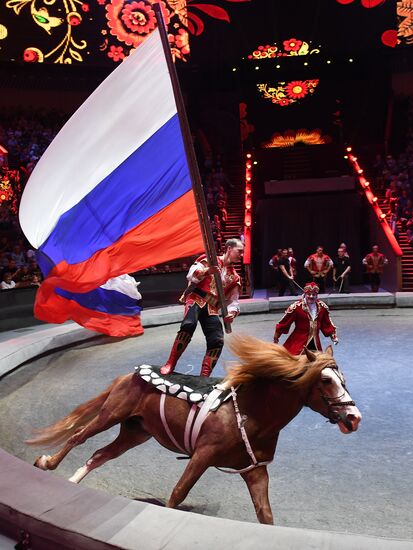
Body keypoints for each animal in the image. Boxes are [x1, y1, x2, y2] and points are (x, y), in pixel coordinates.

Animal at [28, 336, 360, 528]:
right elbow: (178, 493)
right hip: (110, 415)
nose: (354, 417)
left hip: (135, 432)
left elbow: (265, 514)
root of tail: (127, 375)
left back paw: (73, 484)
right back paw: (46, 463)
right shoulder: (202, 455)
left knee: (99, 455)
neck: (252, 413)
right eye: (327, 380)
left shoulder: (256, 471)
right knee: (77, 437)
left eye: (343, 378)